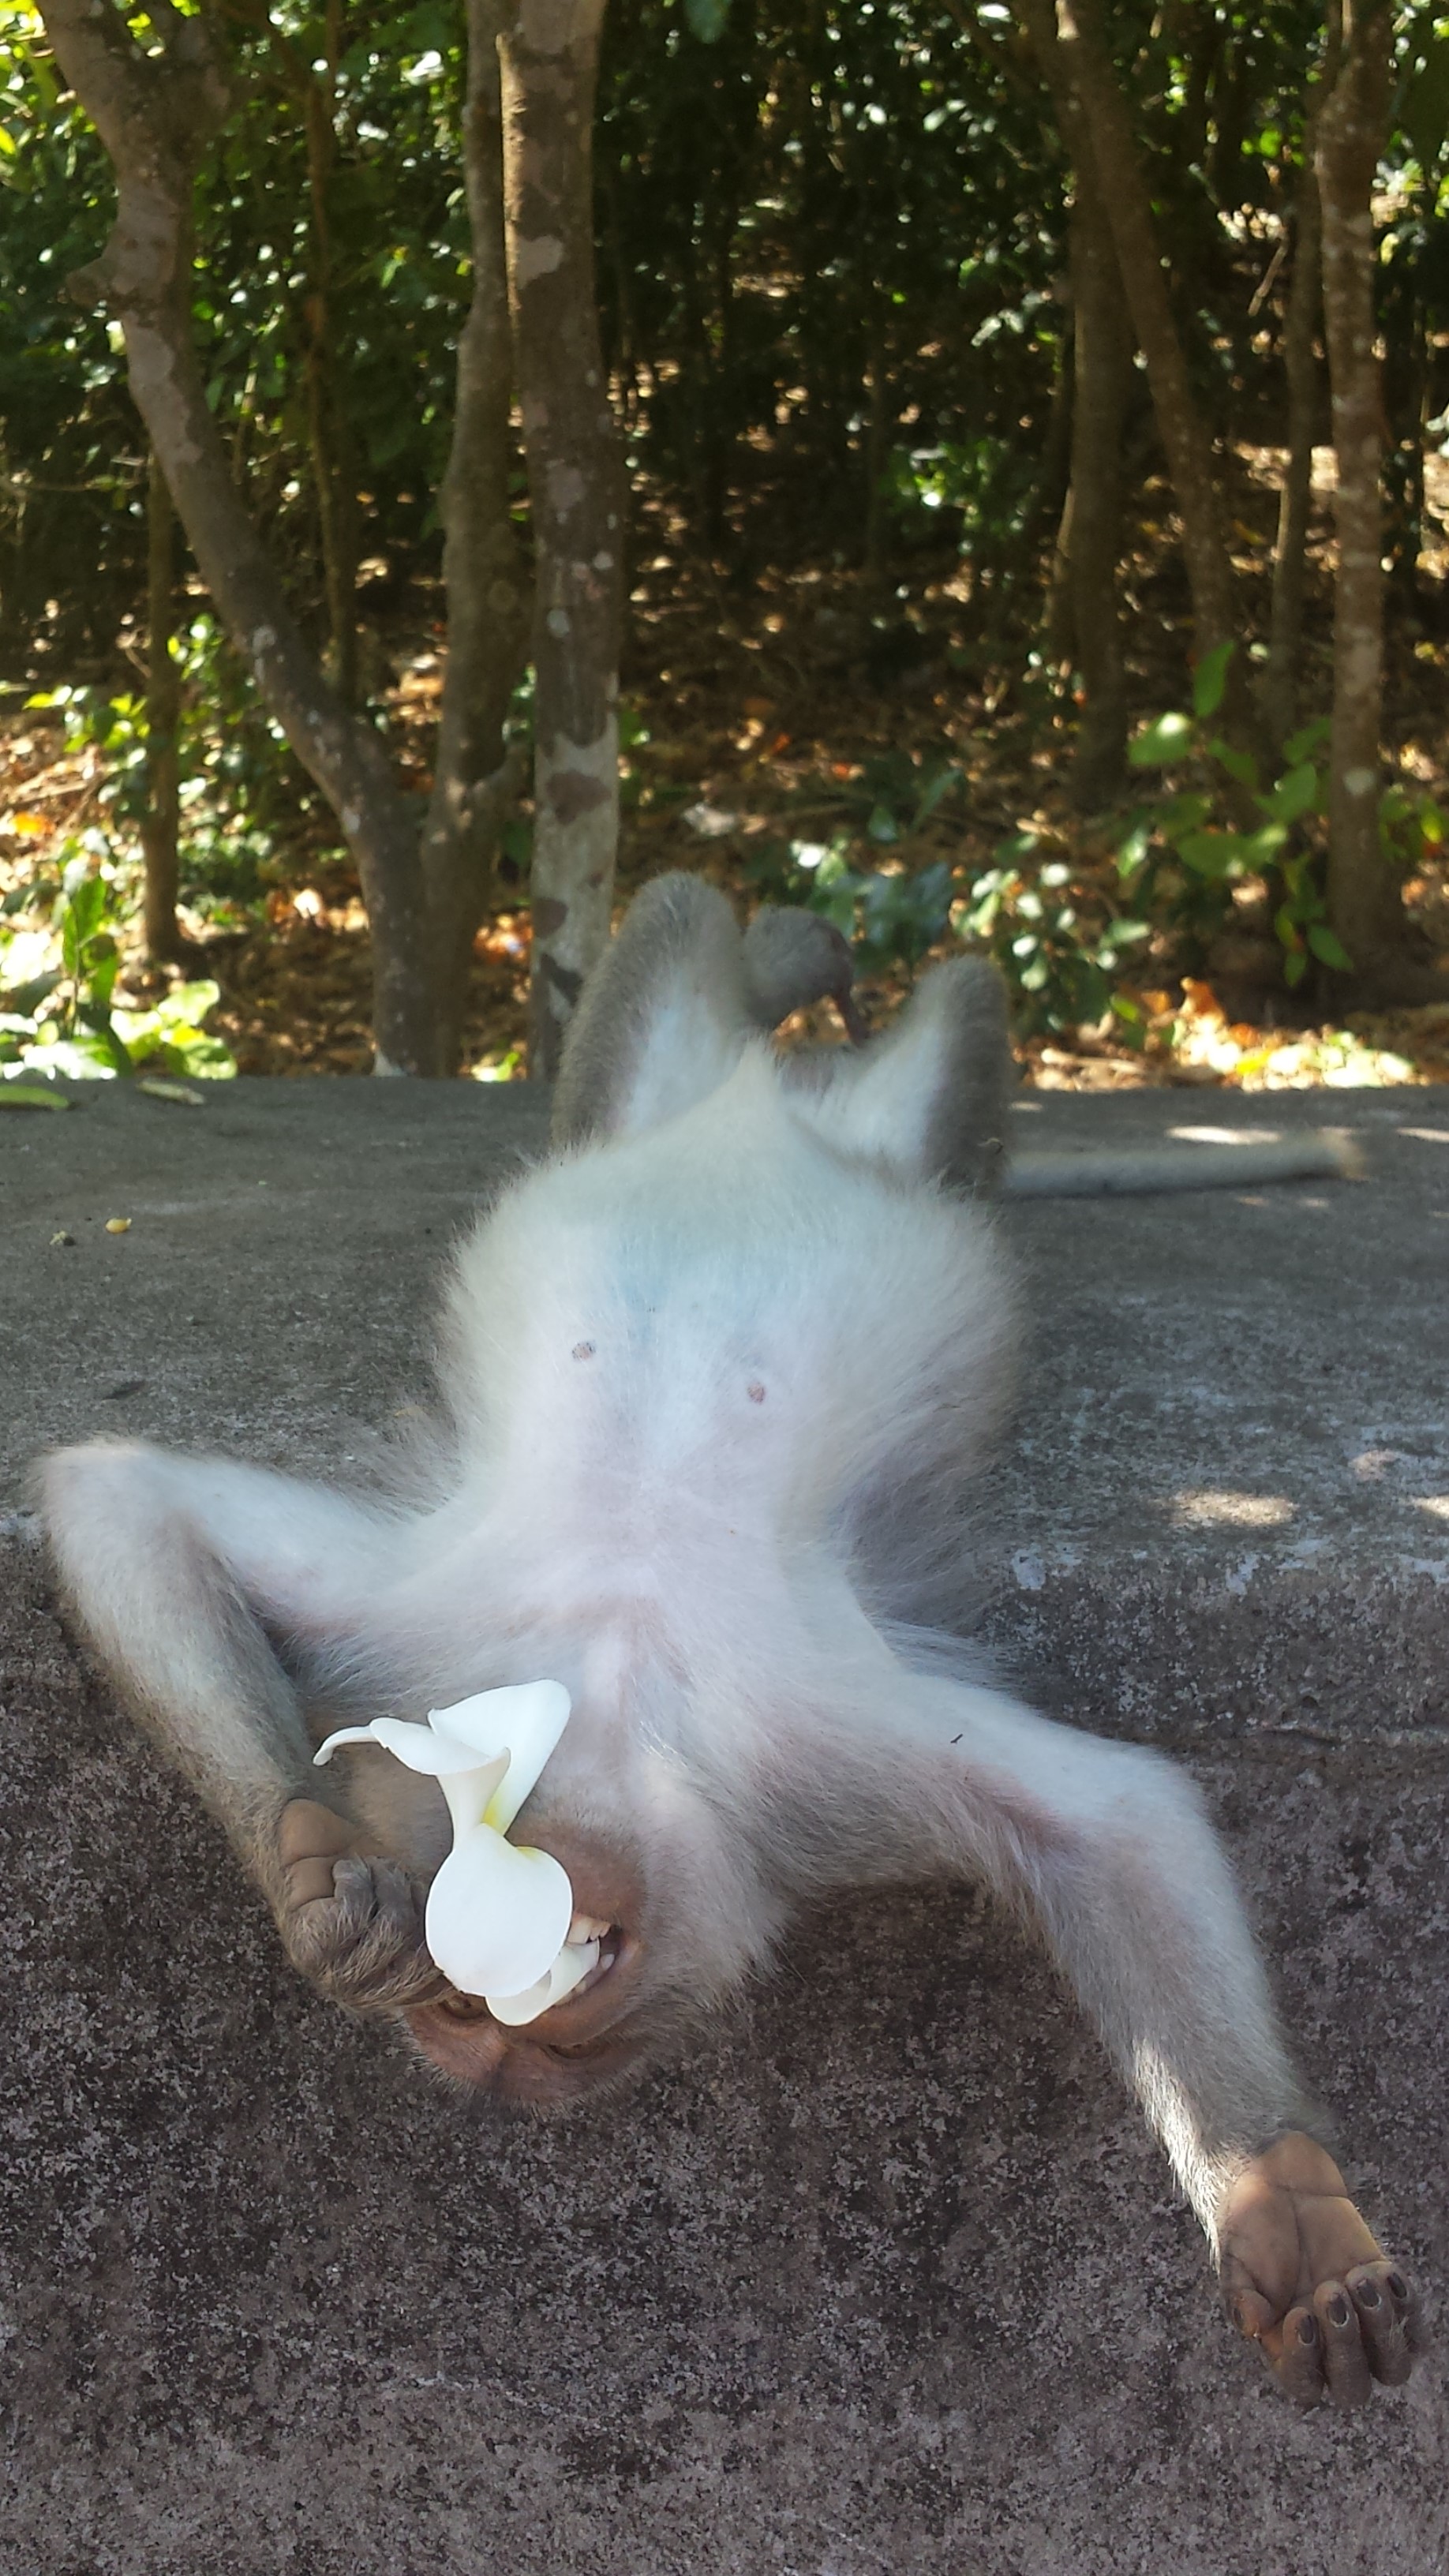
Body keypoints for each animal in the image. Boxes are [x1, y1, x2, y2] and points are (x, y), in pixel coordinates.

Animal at [40, 873, 1422, 2412]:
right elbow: (123, 1498)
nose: (489, 2023)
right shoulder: (422, 1625)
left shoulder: (811, 1749)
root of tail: (779, 1100)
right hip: (646, 1095)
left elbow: (1119, 1814)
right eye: (459, 2021)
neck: (609, 1665)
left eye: (509, 2016)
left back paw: (817, 962)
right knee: (685, 946)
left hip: (915, 1160)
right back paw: (773, 955)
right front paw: (313, 1867)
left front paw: (1288, 2205)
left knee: (953, 1036)